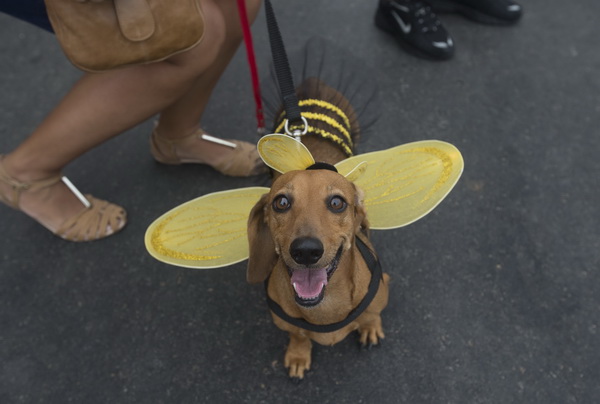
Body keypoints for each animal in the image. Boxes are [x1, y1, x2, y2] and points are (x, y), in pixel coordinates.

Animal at [246, 78, 392, 378]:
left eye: (337, 202)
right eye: (281, 202)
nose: (306, 251)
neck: (324, 307)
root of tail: (310, 85)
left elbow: (372, 316)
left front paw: (371, 328)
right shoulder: (287, 323)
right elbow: (299, 335)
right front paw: (298, 355)